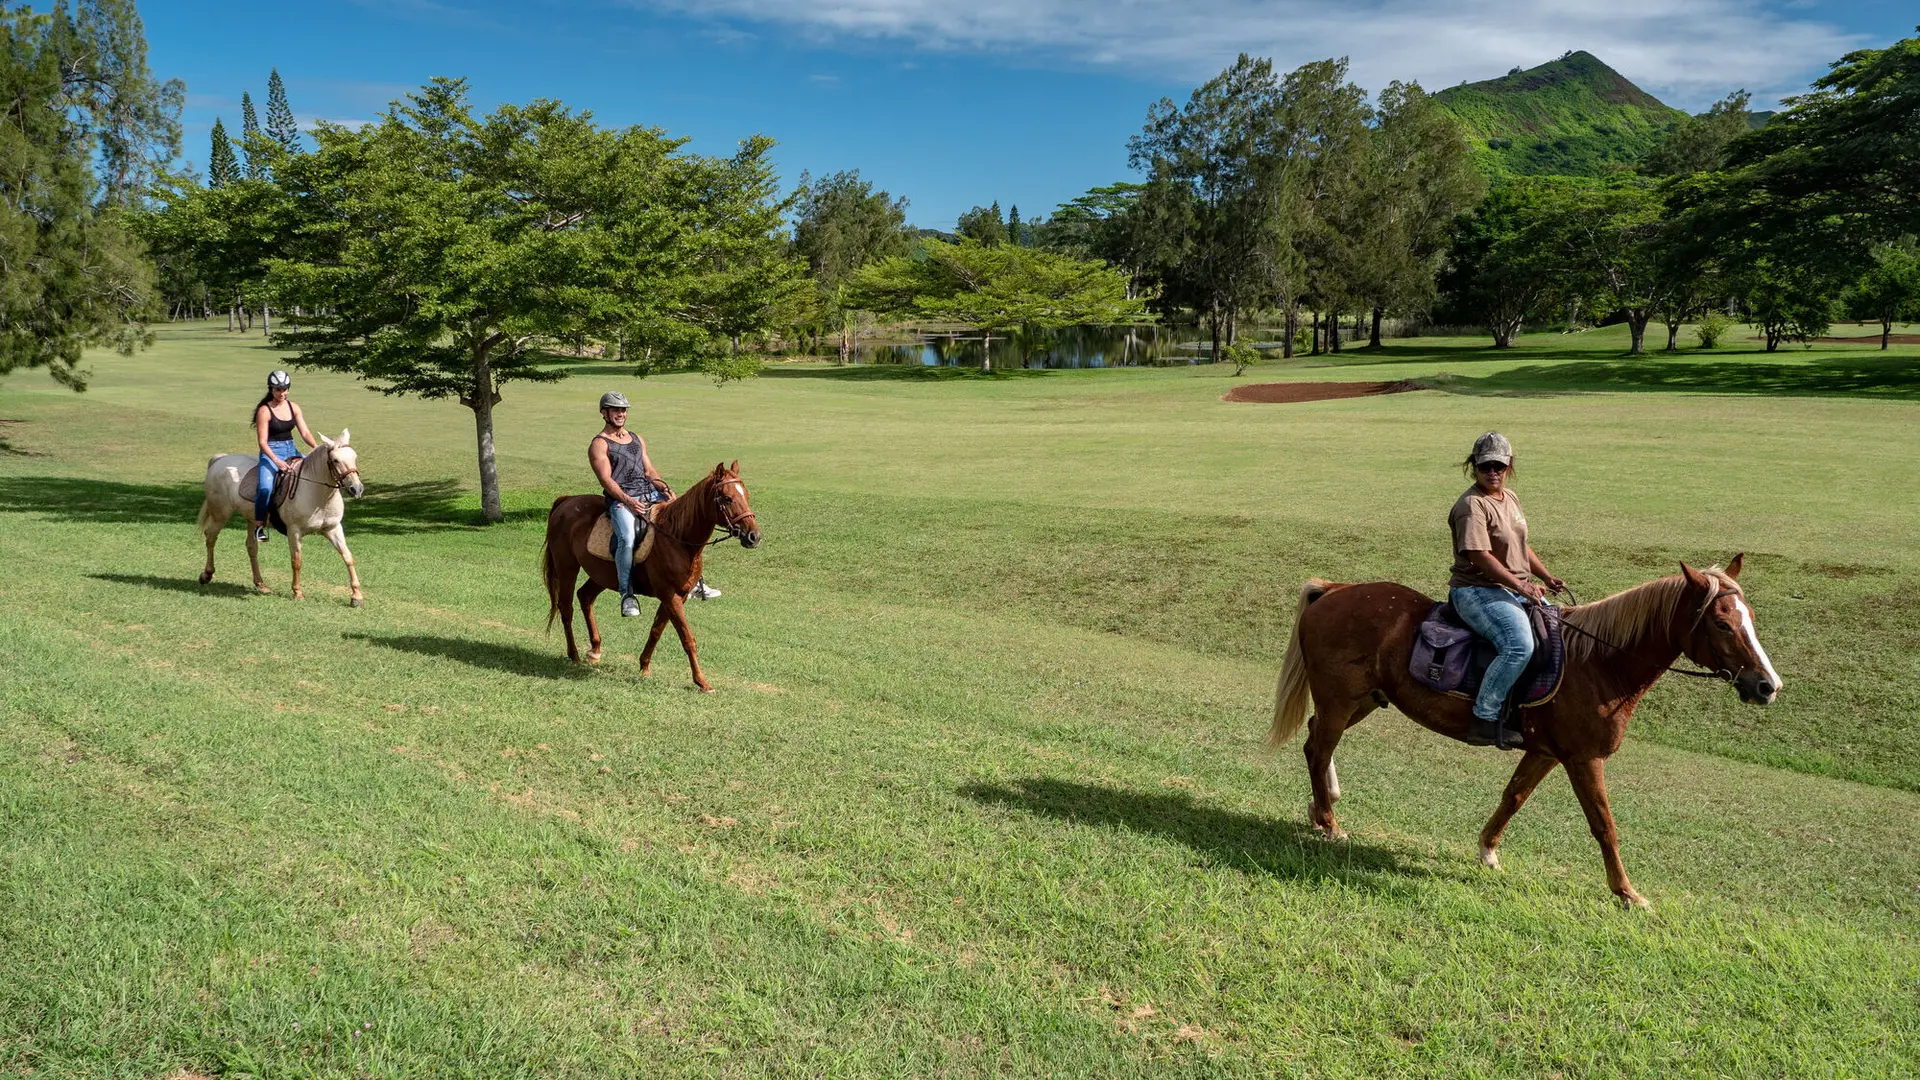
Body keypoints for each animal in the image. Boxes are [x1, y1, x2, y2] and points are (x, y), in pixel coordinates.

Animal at [198, 430, 366, 599]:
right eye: (335, 460)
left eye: (355, 457)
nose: (356, 489)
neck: (318, 496)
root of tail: (221, 459)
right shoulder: (294, 531)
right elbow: (296, 561)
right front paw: (297, 592)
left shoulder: (333, 529)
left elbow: (348, 557)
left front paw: (356, 595)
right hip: (220, 515)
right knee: (210, 537)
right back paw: (207, 574)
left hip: (251, 519)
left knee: (251, 547)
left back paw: (260, 584)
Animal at [545, 457, 760, 684]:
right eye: (727, 498)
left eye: (746, 495)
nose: (754, 536)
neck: (677, 539)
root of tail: (566, 501)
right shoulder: (670, 596)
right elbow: (687, 637)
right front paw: (702, 682)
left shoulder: (677, 596)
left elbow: (656, 630)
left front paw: (644, 667)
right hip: (567, 567)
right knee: (566, 608)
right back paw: (574, 655)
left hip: (602, 575)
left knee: (585, 597)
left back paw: (594, 650)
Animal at [1274, 557, 1781, 903]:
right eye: (1722, 623)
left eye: (1751, 618)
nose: (1767, 685)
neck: (1597, 663)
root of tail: (1335, 589)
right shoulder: (1583, 758)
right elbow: (1604, 825)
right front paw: (1626, 893)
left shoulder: (1545, 752)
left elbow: (1513, 797)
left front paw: (1487, 851)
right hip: (1341, 700)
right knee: (1319, 747)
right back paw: (1329, 822)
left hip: (1364, 700)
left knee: (1317, 740)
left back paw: (1322, 805)